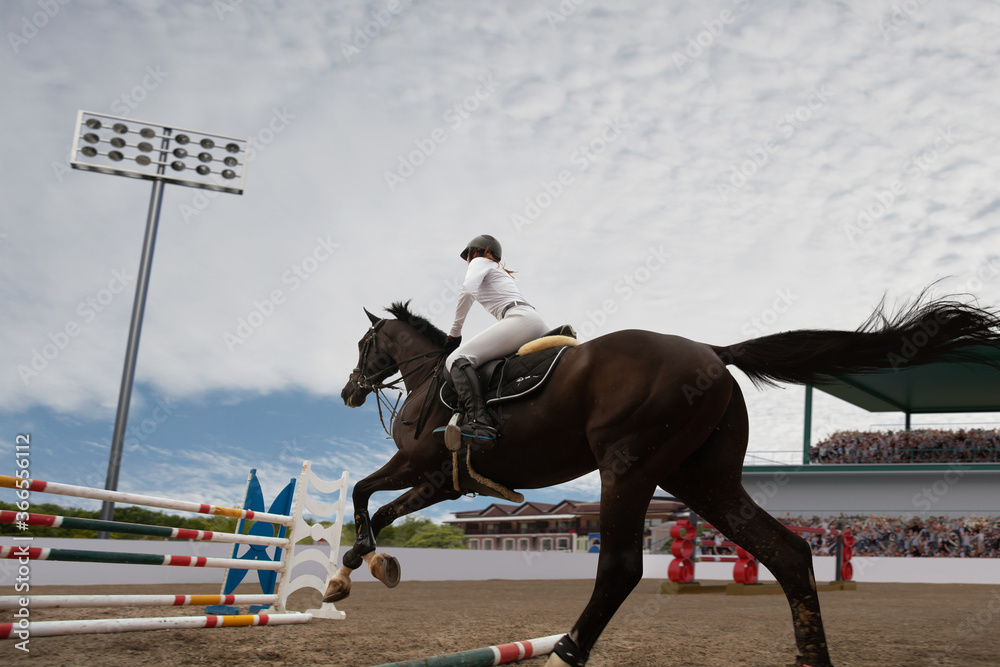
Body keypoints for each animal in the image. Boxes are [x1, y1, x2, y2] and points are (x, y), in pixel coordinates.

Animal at [326, 294, 1000, 664]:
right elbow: (378, 511)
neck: (429, 379)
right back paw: (812, 657)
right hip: (702, 478)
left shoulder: (419, 467)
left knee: (621, 567)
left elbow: (363, 492)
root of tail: (713, 351)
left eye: (363, 344)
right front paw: (356, 569)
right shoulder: (443, 483)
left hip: (628, 466)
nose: (349, 393)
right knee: (788, 552)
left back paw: (567, 652)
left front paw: (353, 568)